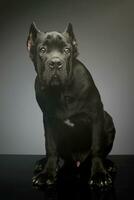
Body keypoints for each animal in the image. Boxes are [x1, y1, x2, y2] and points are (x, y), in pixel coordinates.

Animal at [26, 22, 115, 190]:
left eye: (67, 50)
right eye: (42, 50)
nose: (55, 62)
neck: (61, 92)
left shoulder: (96, 116)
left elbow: (96, 148)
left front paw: (99, 175)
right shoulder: (48, 121)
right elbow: (51, 147)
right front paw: (47, 173)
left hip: (107, 119)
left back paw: (108, 164)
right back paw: (43, 163)